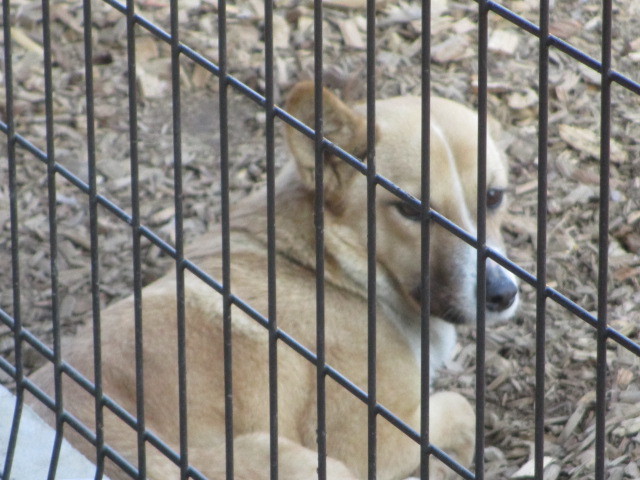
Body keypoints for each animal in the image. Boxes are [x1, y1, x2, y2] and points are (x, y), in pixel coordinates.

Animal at [31, 82, 520, 480]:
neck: (326, 265)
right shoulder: (368, 437)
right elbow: (460, 410)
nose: (504, 294)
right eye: (411, 210)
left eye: (494, 197)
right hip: (308, 464)